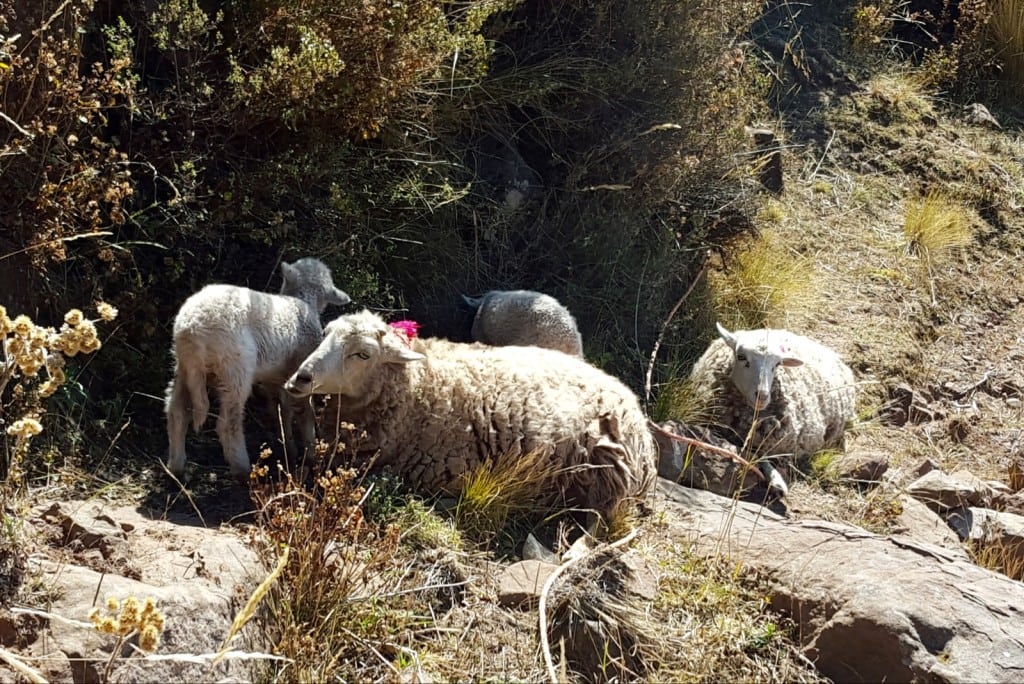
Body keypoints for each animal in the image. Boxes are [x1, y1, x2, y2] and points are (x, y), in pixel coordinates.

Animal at [163, 258, 348, 481]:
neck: (301, 301)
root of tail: (191, 330)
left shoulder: (276, 378)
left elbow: (280, 410)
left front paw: (289, 449)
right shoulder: (301, 368)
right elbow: (305, 412)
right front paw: (311, 453)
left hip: (184, 365)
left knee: (177, 412)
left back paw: (176, 466)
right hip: (234, 367)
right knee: (228, 423)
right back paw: (243, 469)